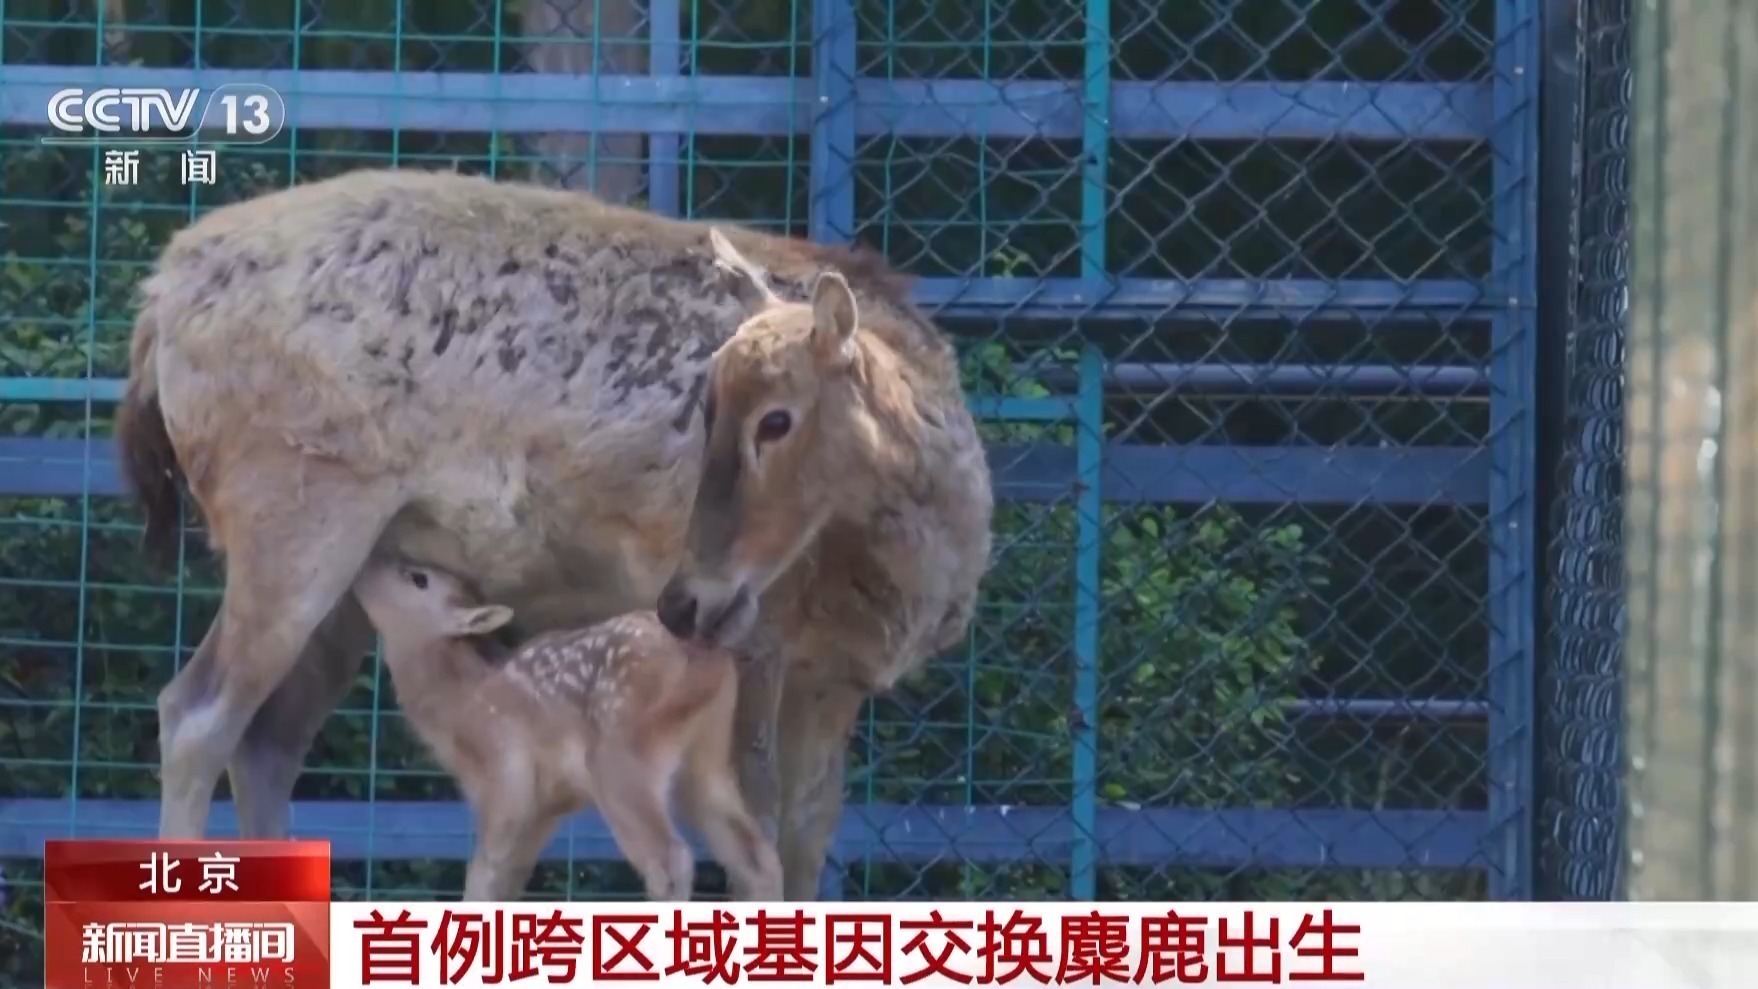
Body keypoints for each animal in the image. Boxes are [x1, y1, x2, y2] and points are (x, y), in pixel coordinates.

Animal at [347, 555, 782, 901]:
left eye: (418, 578)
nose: (366, 566)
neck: (457, 703)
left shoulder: (503, 767)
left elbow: (484, 871)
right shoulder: (547, 805)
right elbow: (508, 881)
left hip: (622, 750)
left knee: (672, 859)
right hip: (705, 757)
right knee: (758, 856)